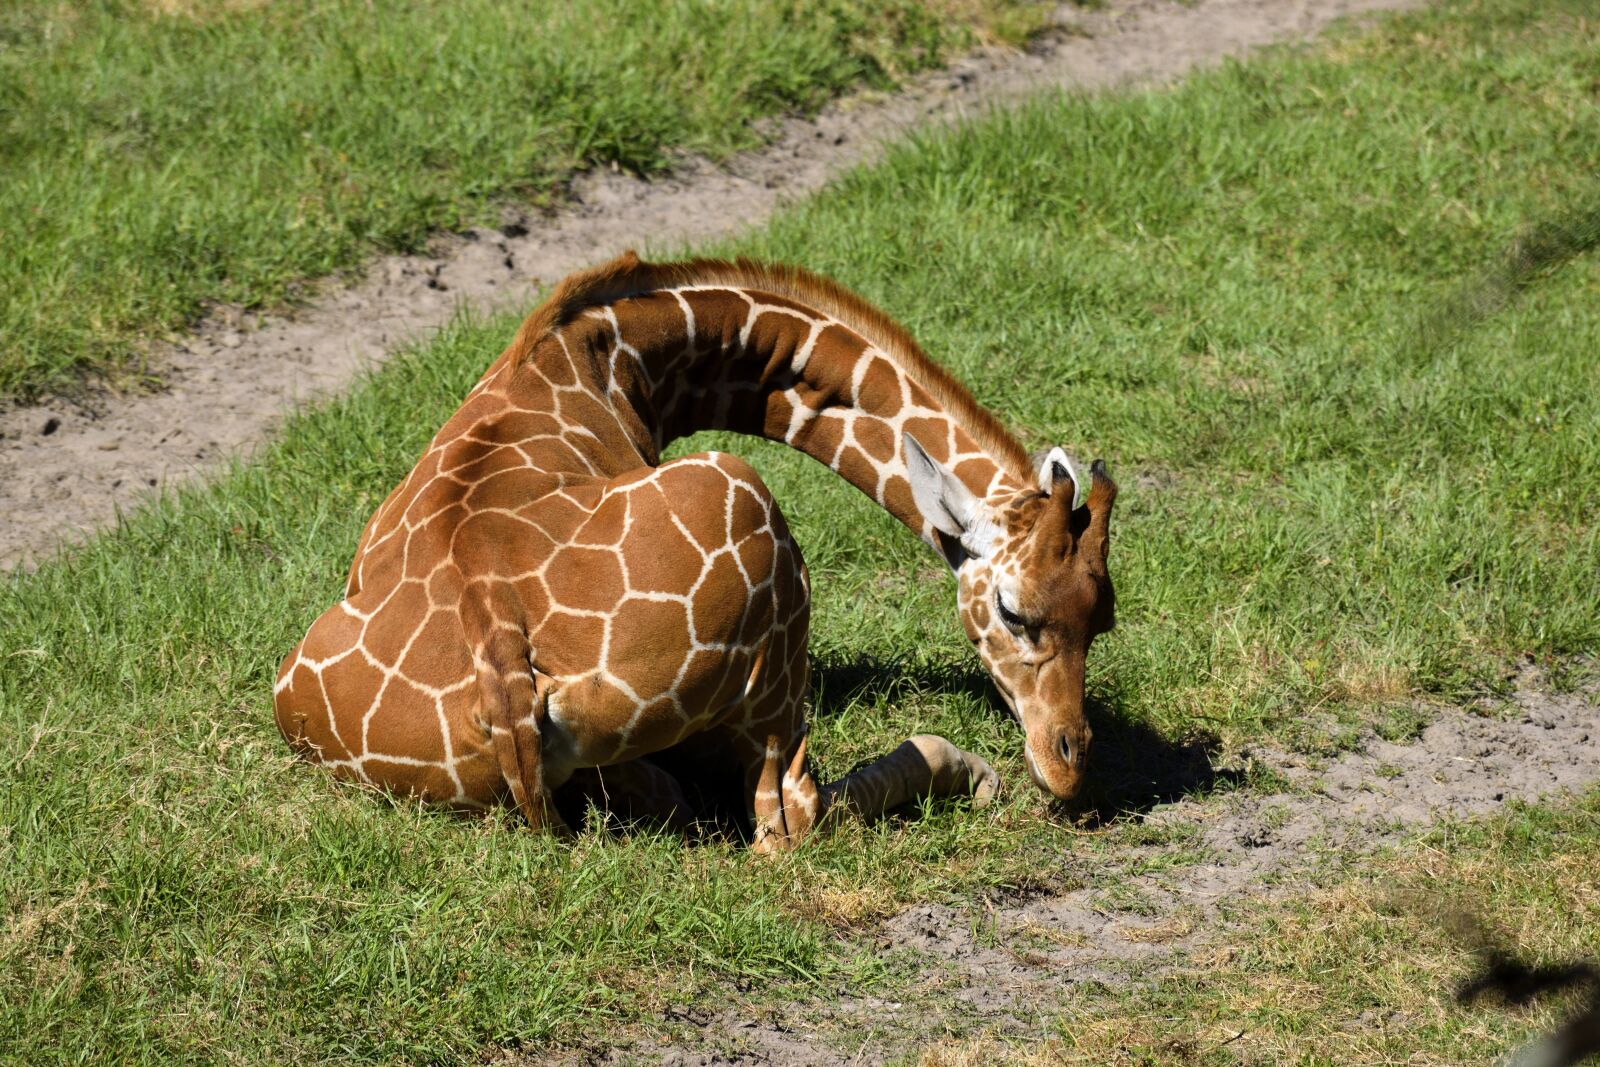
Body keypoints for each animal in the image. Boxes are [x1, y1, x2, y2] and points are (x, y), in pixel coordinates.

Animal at [273, 252, 1117, 852]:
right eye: (1012, 610)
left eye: (1102, 619)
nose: (1068, 764)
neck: (626, 354)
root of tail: (501, 654)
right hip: (751, 511)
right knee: (788, 825)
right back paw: (971, 774)